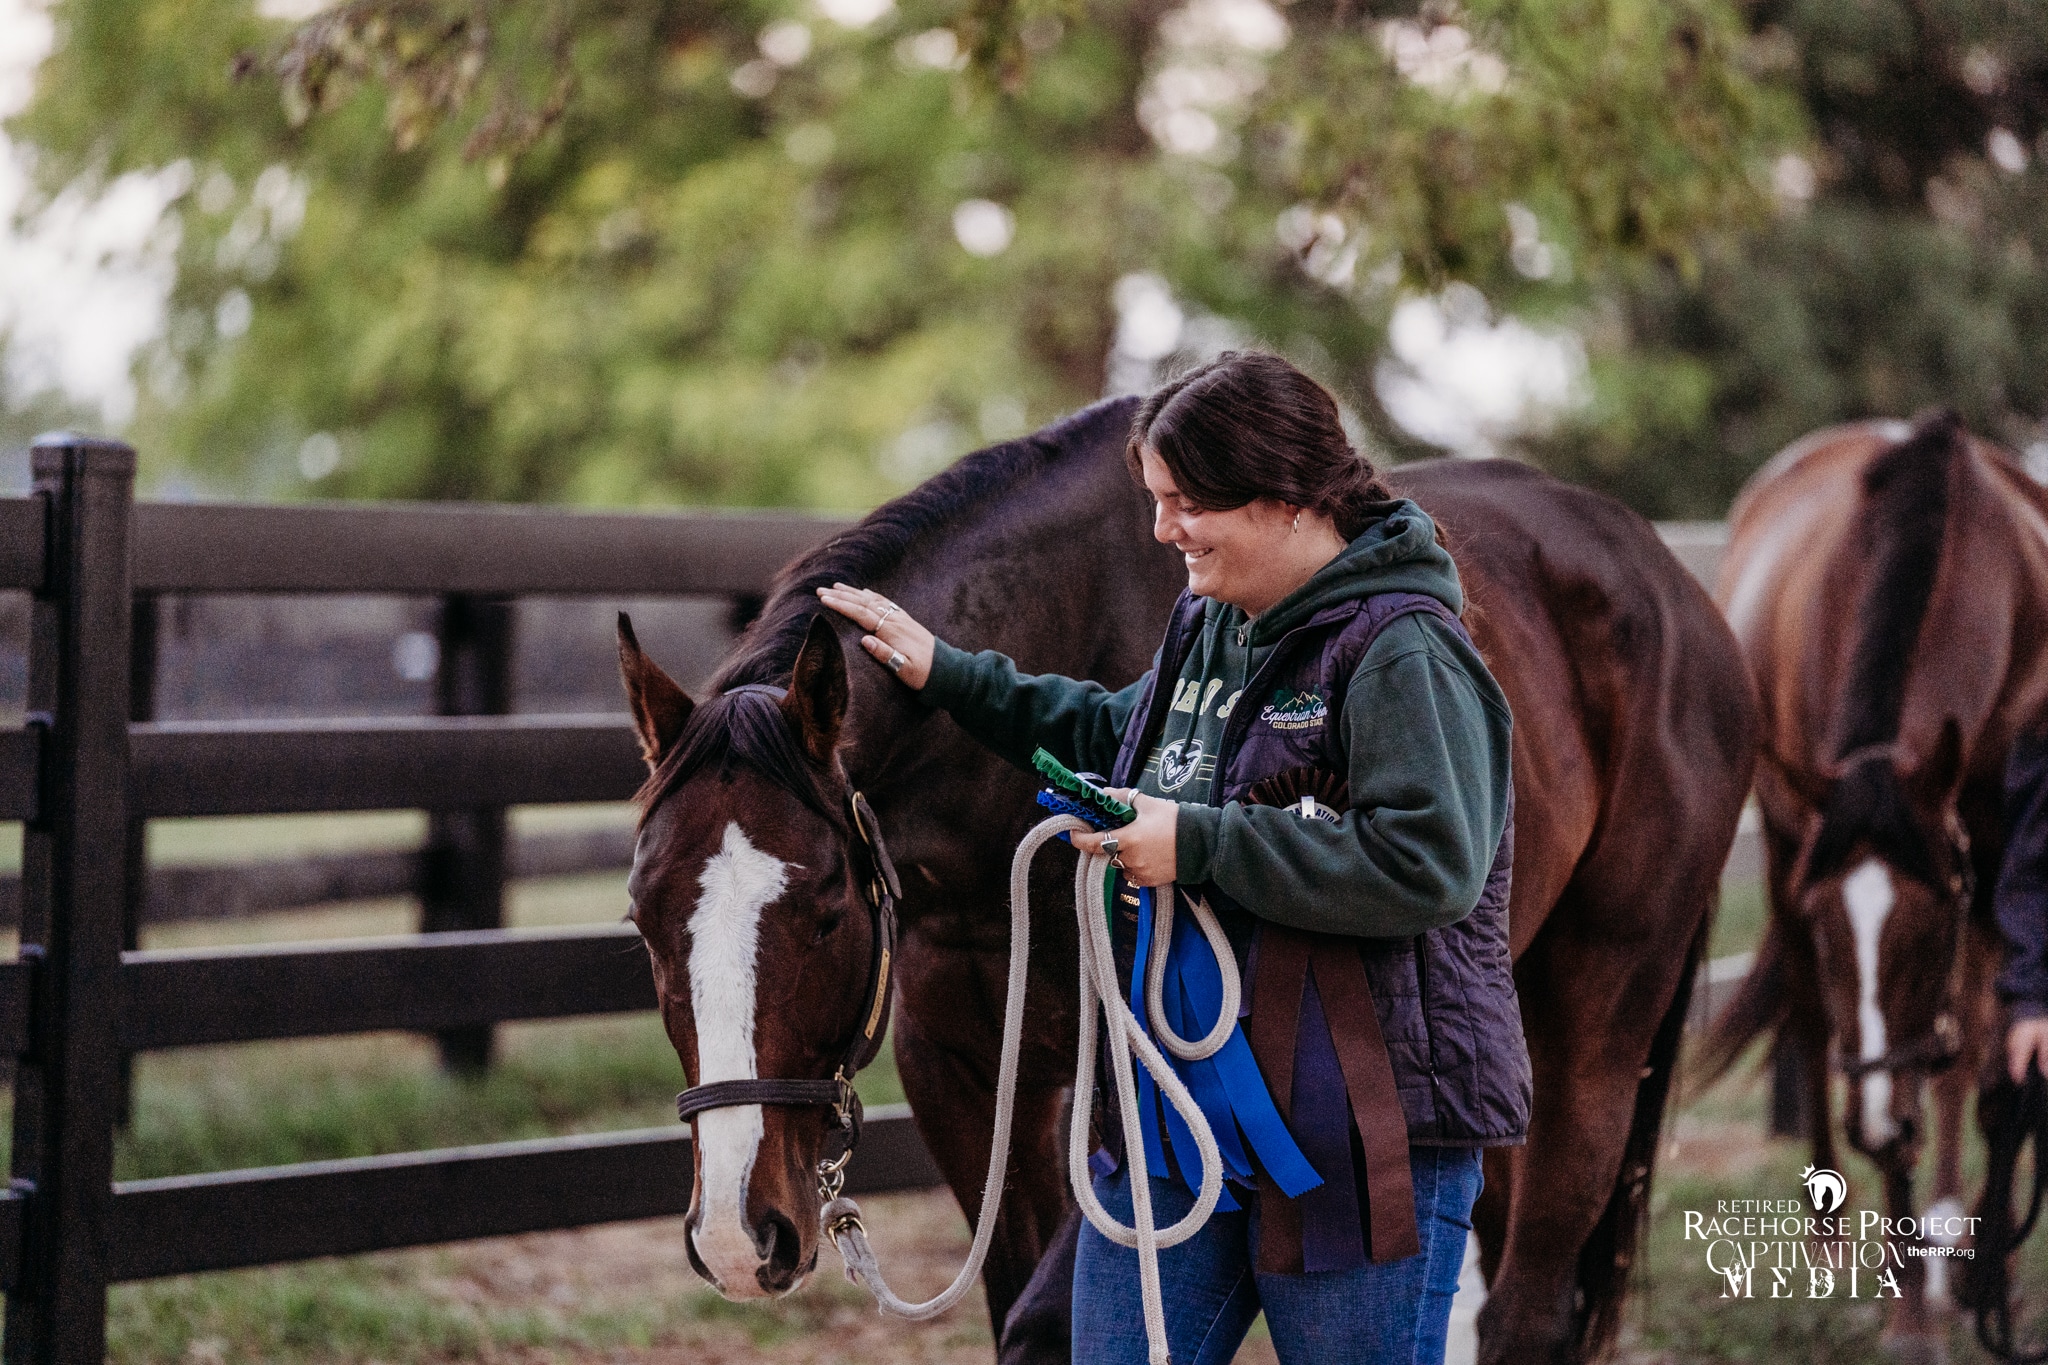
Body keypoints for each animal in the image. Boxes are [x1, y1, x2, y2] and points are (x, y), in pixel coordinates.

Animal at [1701, 410, 2048, 1354]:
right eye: (1827, 923)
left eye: (1926, 923)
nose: (1879, 1118)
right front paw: (1908, 1313)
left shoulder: (1992, 858)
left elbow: (1986, 1060)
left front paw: (1988, 1275)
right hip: (1781, 840)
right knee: (1811, 1018)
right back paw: (1833, 1237)